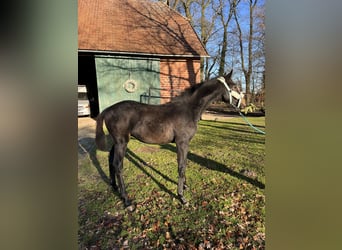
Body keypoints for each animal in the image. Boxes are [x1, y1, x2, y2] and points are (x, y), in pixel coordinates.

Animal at [95, 69, 243, 206]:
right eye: (234, 86)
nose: (242, 104)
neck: (188, 109)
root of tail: (108, 110)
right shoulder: (182, 142)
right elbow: (181, 166)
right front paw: (182, 197)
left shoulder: (185, 143)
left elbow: (185, 163)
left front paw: (184, 186)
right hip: (122, 142)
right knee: (118, 165)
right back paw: (126, 200)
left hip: (116, 142)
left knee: (111, 161)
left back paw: (115, 187)